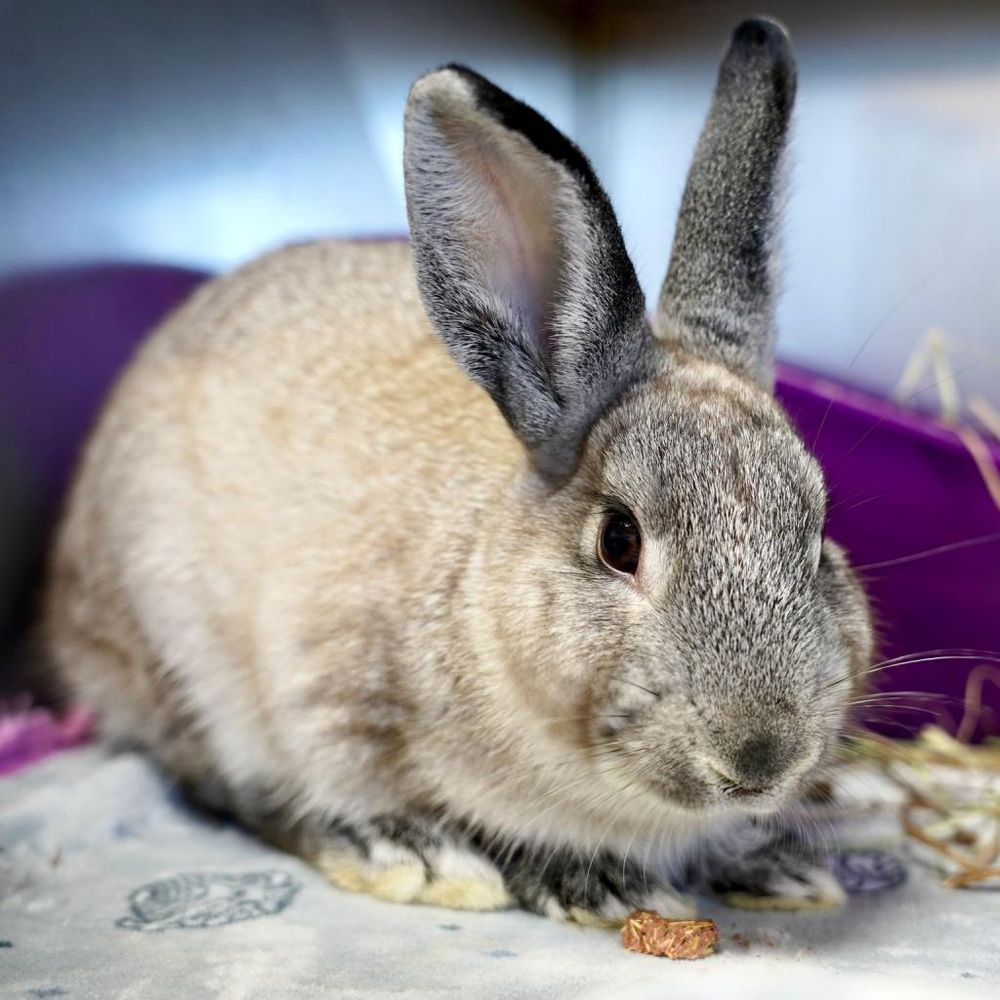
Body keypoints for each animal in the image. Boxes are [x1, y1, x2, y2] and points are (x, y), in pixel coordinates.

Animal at [44, 16, 872, 924]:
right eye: (619, 541)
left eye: (818, 538)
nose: (760, 758)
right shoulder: (327, 693)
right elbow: (333, 784)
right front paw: (553, 876)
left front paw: (778, 867)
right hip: (176, 657)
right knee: (218, 783)